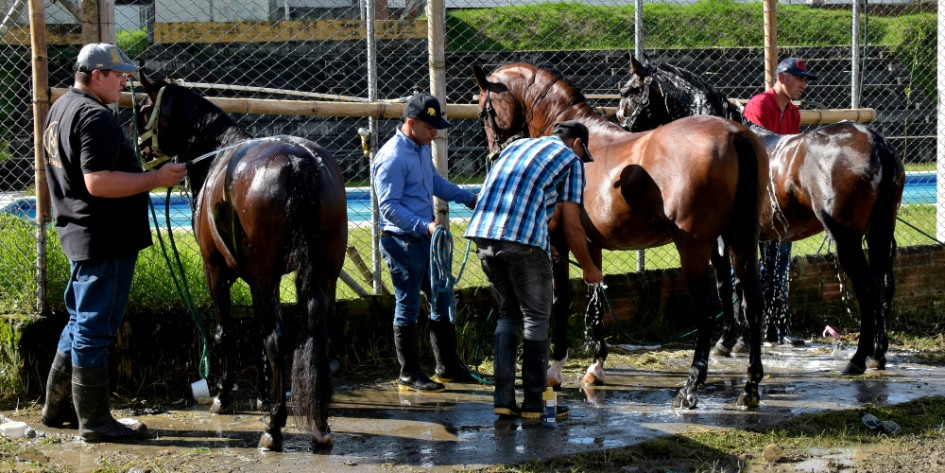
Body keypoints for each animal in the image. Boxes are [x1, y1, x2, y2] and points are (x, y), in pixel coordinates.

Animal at [134, 73, 348, 450]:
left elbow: (227, 332)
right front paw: (263, 394)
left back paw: (273, 428)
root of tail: (299, 163)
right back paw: (319, 425)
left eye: (145, 108)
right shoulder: (264, 281)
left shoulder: (216, 271)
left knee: (278, 340)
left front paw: (223, 395)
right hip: (323, 275)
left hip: (260, 275)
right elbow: (257, 335)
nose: (142, 152)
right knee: (316, 335)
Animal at [473, 62, 769, 409]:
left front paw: (556, 368)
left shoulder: (558, 243)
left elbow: (561, 300)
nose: (495, 153)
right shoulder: (590, 244)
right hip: (741, 240)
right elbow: (596, 297)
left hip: (694, 247)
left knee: (708, 308)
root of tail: (736, 136)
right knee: (752, 303)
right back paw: (750, 386)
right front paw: (595, 365)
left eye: (484, 111)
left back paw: (690, 388)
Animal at [615, 56, 905, 375]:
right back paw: (878, 353)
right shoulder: (753, 238)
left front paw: (727, 341)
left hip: (846, 237)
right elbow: (750, 286)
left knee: (867, 287)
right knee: (885, 284)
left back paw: (857, 359)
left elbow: (727, 285)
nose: (621, 124)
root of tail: (877, 143)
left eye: (630, 90)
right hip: (880, 232)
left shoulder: (719, 239)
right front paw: (742, 341)